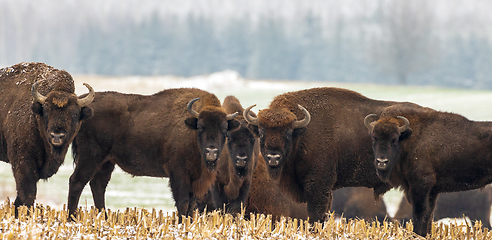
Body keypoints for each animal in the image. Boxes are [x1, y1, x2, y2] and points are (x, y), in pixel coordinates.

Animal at [67, 87, 240, 219]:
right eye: (201, 127)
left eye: (224, 129)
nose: (211, 152)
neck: (191, 131)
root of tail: (82, 107)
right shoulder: (179, 175)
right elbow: (183, 203)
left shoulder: (194, 179)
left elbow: (191, 205)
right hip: (90, 157)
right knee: (77, 181)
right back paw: (72, 219)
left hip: (107, 162)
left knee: (98, 185)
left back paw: (104, 218)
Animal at [243, 87, 400, 223]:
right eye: (261, 132)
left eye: (288, 133)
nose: (273, 158)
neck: (302, 133)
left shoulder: (318, 186)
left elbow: (315, 215)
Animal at [362, 103, 492, 236]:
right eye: (374, 138)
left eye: (394, 139)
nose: (381, 162)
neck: (411, 138)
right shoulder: (431, 191)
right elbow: (428, 215)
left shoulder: (420, 186)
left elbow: (419, 214)